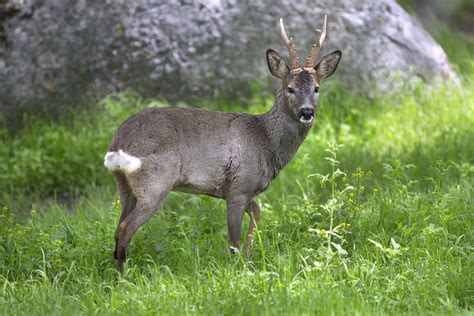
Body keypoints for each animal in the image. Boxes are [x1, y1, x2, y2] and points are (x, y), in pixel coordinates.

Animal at [104, 15, 340, 272]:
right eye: (290, 88)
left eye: (316, 88)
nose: (307, 112)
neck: (265, 139)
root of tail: (118, 141)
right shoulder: (239, 187)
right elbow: (233, 241)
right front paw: (238, 270)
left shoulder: (241, 189)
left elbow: (257, 213)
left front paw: (249, 257)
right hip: (155, 180)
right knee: (125, 228)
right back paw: (122, 276)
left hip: (124, 186)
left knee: (117, 227)